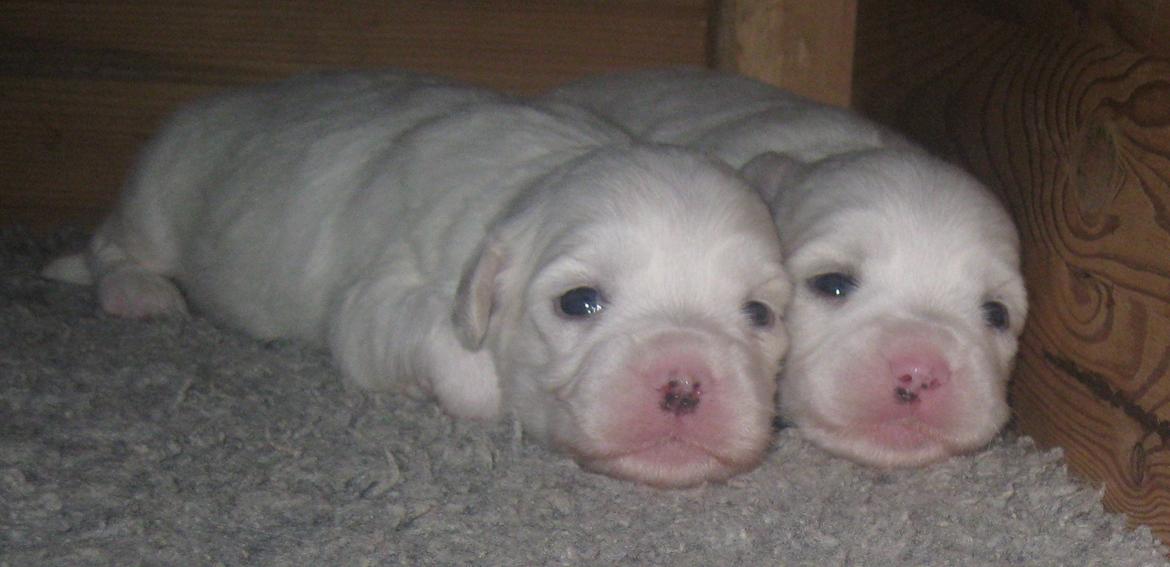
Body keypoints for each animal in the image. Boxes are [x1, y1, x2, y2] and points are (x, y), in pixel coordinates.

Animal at [45, 70, 795, 486]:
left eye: (760, 314)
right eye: (578, 302)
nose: (683, 381)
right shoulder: (375, 303)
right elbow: (463, 371)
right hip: (159, 192)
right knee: (111, 245)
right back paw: (138, 292)